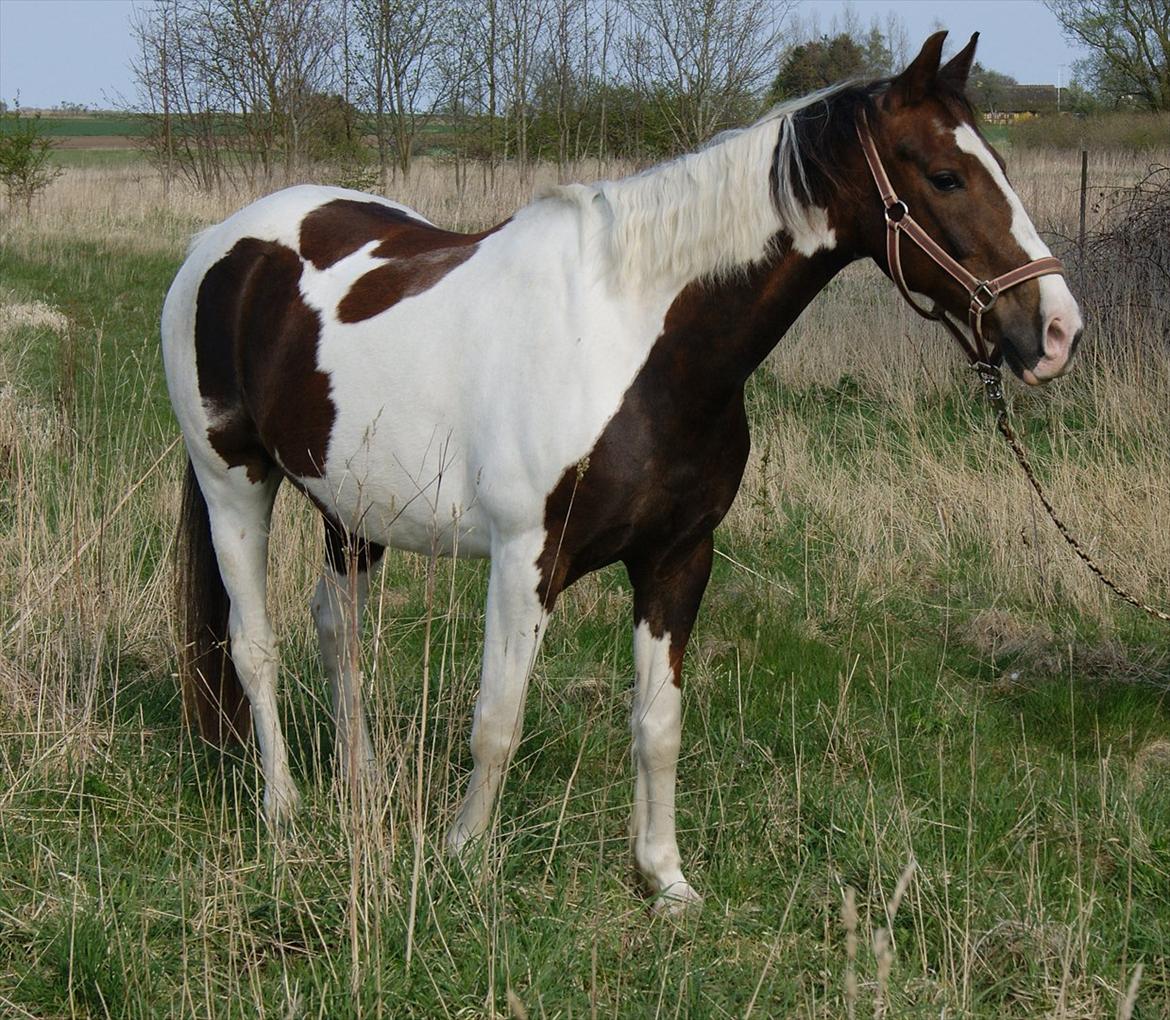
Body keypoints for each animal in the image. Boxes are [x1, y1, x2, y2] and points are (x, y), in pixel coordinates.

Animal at [162, 31, 1076, 912]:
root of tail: (217, 247)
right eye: (946, 175)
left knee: (337, 629)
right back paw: (283, 810)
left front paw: (663, 878)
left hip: (350, 511)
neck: (635, 346)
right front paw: (463, 859)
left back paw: (364, 787)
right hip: (234, 483)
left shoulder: (678, 558)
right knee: (254, 646)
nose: (1056, 331)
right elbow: (497, 718)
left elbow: (658, 725)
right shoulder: (525, 559)